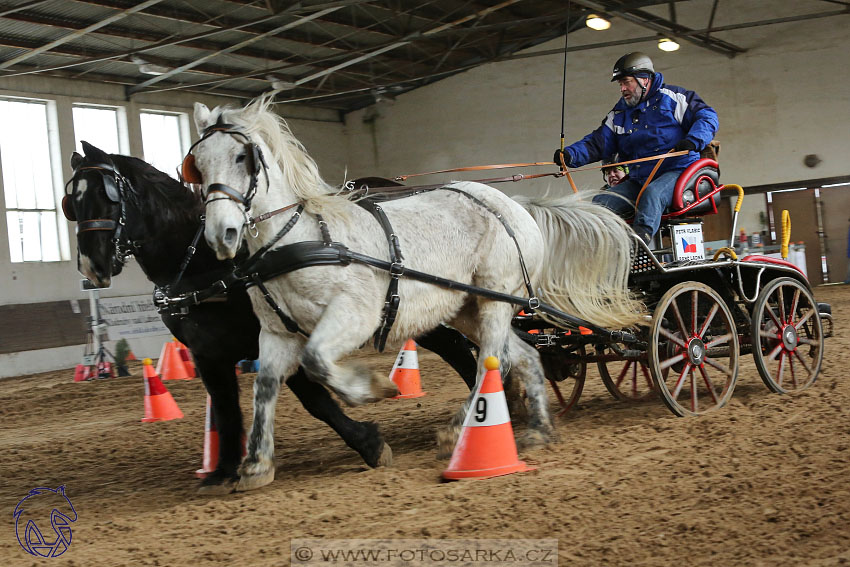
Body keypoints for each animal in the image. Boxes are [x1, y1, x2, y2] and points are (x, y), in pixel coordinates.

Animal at [64, 144, 476, 494]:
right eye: (71, 202)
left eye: (107, 195)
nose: (91, 267)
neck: (207, 263)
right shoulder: (208, 354)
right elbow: (227, 410)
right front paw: (223, 470)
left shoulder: (284, 333)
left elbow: (317, 402)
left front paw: (369, 443)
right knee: (458, 348)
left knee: (460, 348)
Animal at [186, 95, 636, 490]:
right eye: (197, 165)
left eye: (242, 157)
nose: (222, 234)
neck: (302, 239)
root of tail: (513, 203)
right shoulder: (277, 333)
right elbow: (266, 387)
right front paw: (255, 466)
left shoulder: (352, 315)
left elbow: (316, 363)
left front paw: (375, 389)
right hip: (466, 308)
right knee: (523, 357)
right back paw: (539, 430)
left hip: (494, 298)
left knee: (493, 361)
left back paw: (457, 430)